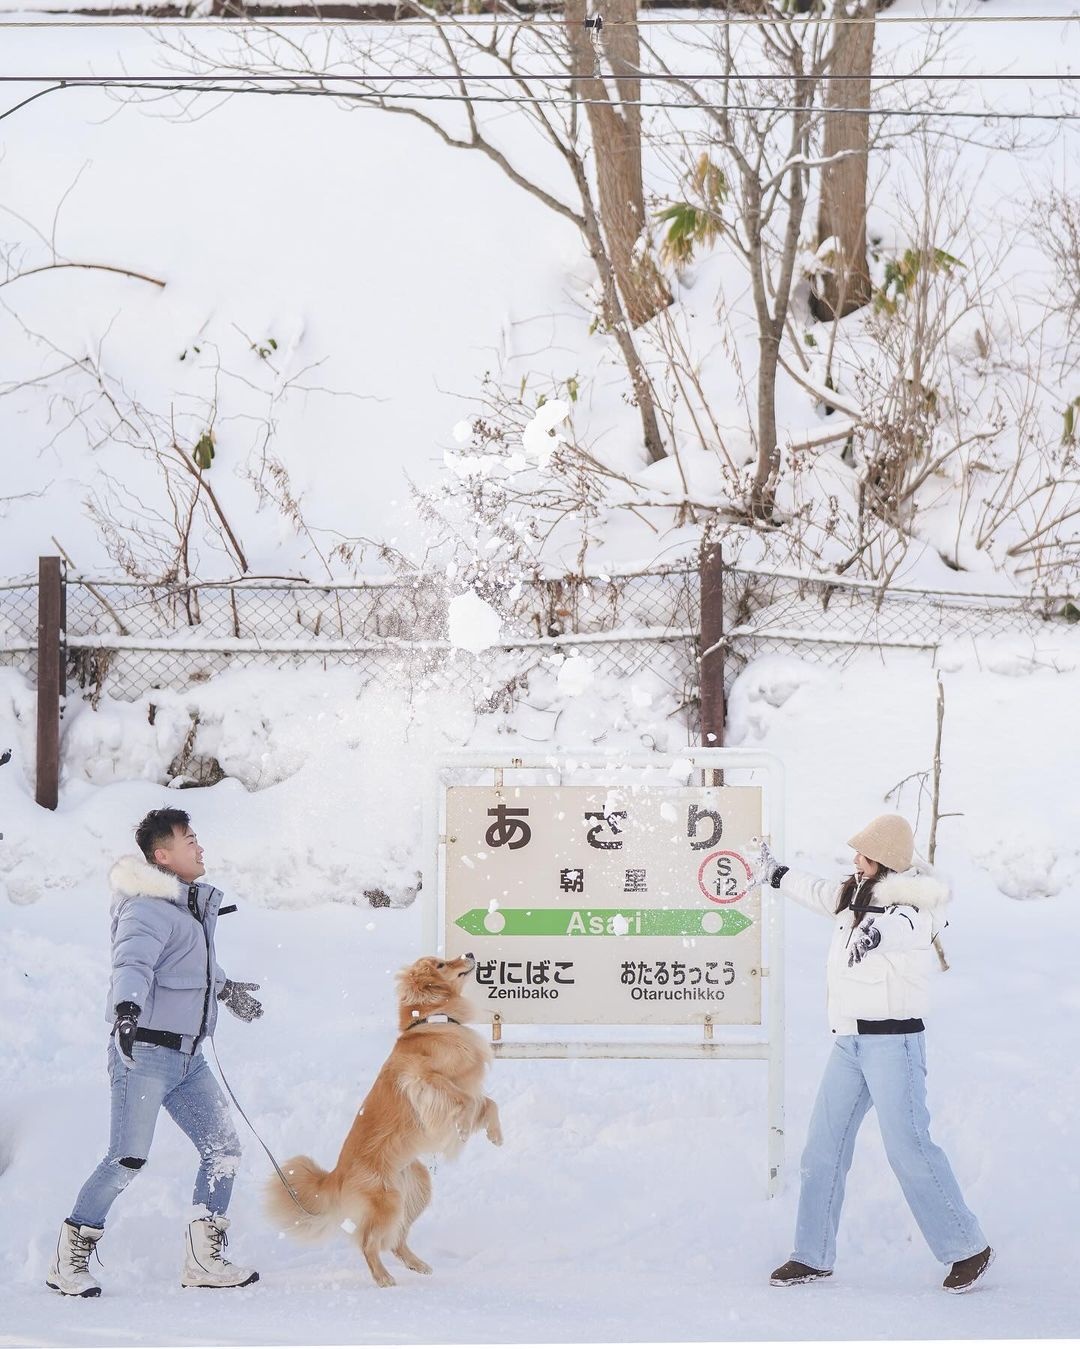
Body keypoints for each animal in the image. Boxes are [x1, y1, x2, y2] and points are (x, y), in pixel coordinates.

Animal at [265, 949, 501, 1284]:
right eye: (441, 964)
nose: (469, 953)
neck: (432, 1021)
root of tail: (336, 1175)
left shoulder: (463, 1085)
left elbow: (489, 1103)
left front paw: (495, 1134)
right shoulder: (422, 1079)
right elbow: (466, 1101)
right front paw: (464, 1129)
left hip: (415, 1188)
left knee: (396, 1239)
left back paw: (418, 1265)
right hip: (386, 1201)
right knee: (369, 1243)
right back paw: (383, 1278)